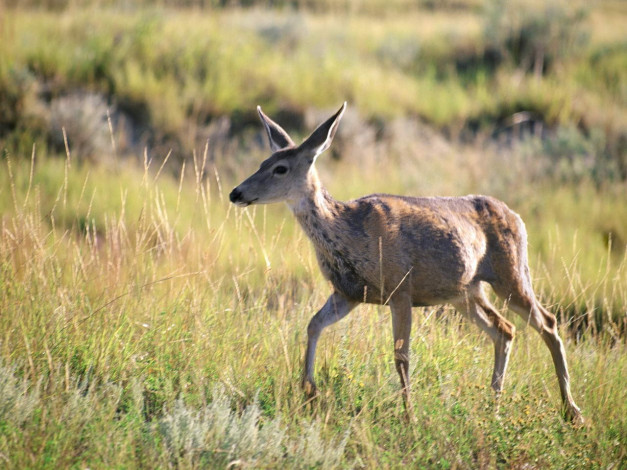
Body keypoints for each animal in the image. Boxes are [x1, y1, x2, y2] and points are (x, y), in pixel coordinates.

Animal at [229, 102, 584, 422]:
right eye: (262, 161)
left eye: (280, 168)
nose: (236, 192)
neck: (349, 233)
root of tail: (517, 217)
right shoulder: (349, 293)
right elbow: (313, 324)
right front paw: (309, 390)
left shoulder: (400, 289)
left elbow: (401, 355)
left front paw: (409, 415)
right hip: (465, 291)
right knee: (504, 329)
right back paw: (494, 404)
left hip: (510, 273)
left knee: (548, 322)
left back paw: (571, 410)